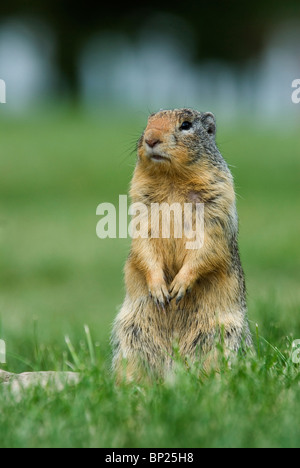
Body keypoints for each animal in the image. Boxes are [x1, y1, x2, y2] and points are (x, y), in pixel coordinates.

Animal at [111, 109, 252, 380]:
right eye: (148, 122)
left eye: (186, 125)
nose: (151, 138)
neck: (172, 180)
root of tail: (172, 373)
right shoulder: (141, 211)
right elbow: (143, 247)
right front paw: (159, 289)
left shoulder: (217, 209)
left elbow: (208, 248)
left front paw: (179, 286)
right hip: (130, 336)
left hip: (225, 336)